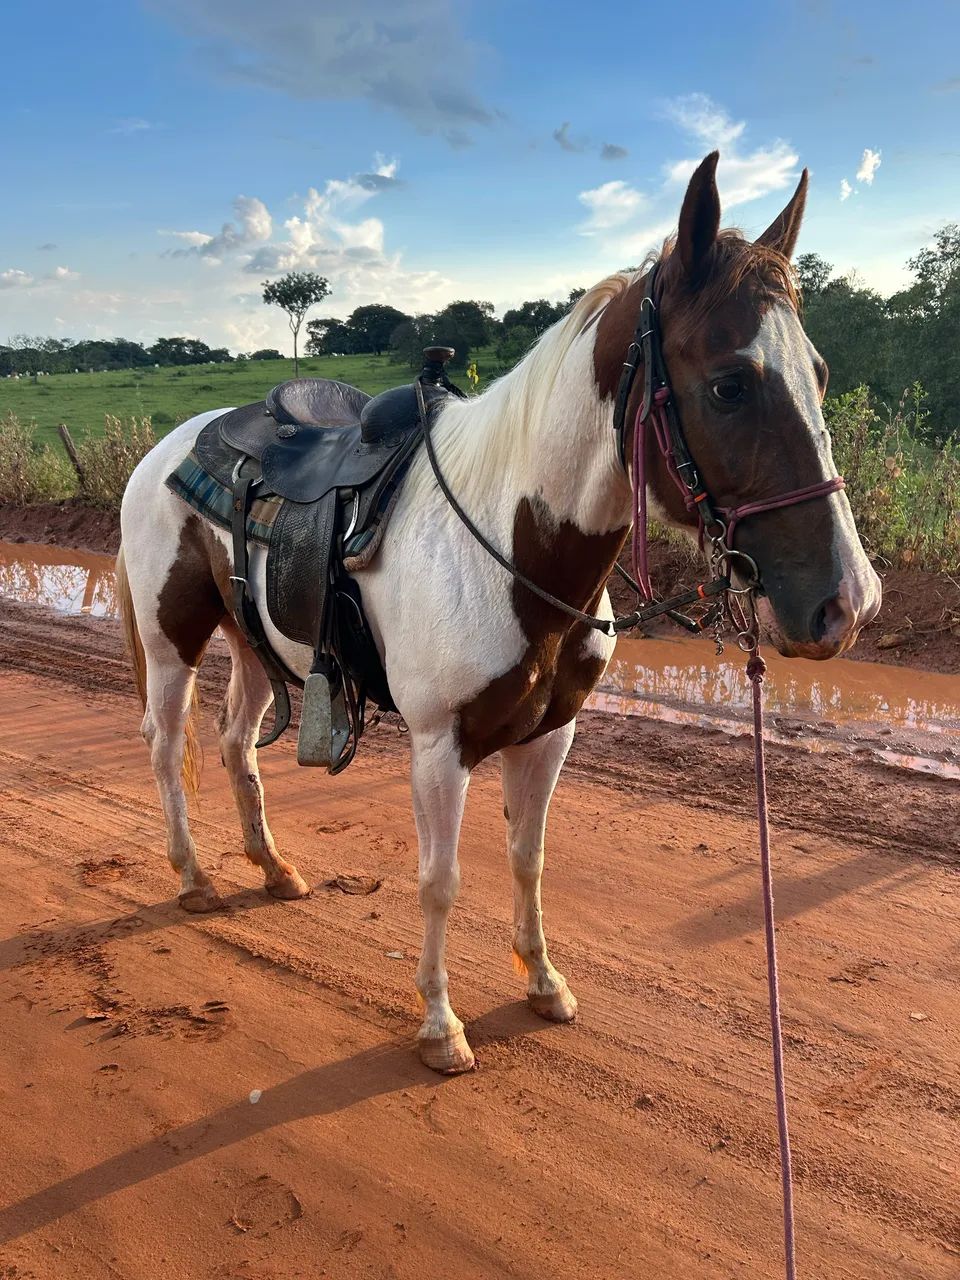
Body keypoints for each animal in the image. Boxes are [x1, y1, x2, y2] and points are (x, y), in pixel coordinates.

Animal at [117, 152, 881, 1075]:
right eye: (730, 384)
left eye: (821, 374)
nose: (849, 602)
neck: (510, 549)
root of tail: (172, 444)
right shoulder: (439, 747)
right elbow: (439, 882)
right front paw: (440, 1024)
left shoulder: (549, 736)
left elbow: (527, 858)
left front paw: (543, 981)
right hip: (173, 641)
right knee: (168, 747)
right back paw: (193, 877)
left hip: (259, 642)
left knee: (234, 745)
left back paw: (271, 867)